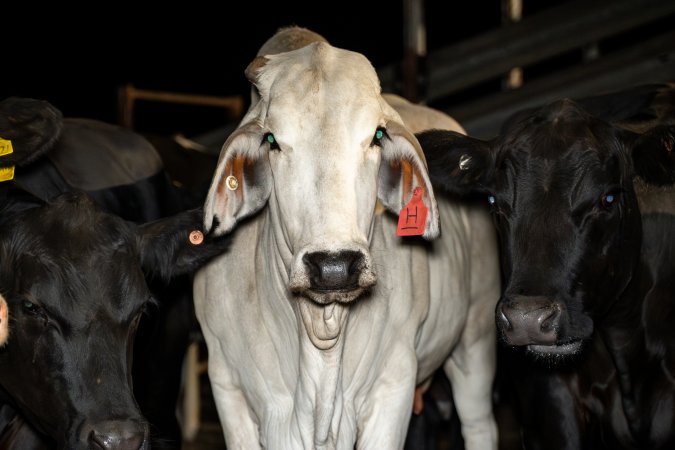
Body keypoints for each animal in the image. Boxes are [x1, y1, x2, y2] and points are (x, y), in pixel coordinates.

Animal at [193, 26, 500, 448]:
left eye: (376, 136)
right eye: (272, 140)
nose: (335, 267)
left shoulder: (393, 387)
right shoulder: (228, 389)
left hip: (477, 338)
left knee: (479, 423)